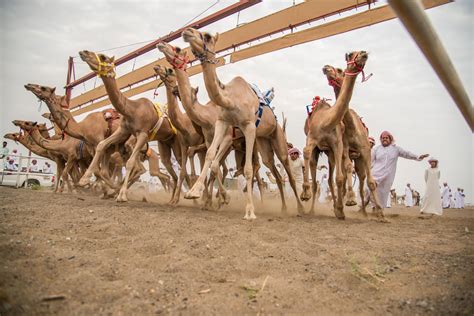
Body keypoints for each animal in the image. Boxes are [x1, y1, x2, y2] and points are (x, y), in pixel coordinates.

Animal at [78, 50, 183, 202]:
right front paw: (84, 180)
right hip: (164, 145)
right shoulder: (123, 130)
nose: (83, 52)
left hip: (177, 143)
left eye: (103, 57)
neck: (132, 109)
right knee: (172, 172)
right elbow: (101, 145)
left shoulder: (143, 133)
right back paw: (173, 199)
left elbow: (130, 162)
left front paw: (121, 195)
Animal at [152, 65, 204, 206]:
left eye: (170, 70)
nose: (157, 66)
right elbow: (183, 172)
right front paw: (175, 200)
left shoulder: (193, 144)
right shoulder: (184, 145)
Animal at [181, 27, 304, 220]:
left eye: (207, 36)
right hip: (264, 143)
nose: (188, 31)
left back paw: (300, 208)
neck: (230, 98)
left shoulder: (249, 127)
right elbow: (210, 154)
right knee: (274, 172)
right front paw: (193, 192)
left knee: (288, 173)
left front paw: (250, 211)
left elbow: (247, 169)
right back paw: (283, 208)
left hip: (278, 138)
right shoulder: (223, 122)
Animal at [300, 51, 370, 220]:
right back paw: (312, 209)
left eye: (339, 69)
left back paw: (344, 210)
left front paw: (344, 206)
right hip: (319, 150)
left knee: (336, 178)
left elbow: (339, 178)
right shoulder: (311, 138)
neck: (326, 121)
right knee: (316, 176)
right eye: (350, 55)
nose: (326, 67)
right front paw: (304, 193)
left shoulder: (337, 144)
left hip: (332, 153)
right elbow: (306, 152)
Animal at [320, 64, 384, 217]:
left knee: (361, 180)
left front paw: (381, 212)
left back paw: (364, 212)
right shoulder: (345, 148)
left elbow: (371, 181)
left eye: (339, 70)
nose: (326, 67)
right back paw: (340, 205)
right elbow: (348, 168)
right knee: (339, 178)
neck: (352, 128)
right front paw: (350, 200)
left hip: (359, 159)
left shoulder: (365, 150)